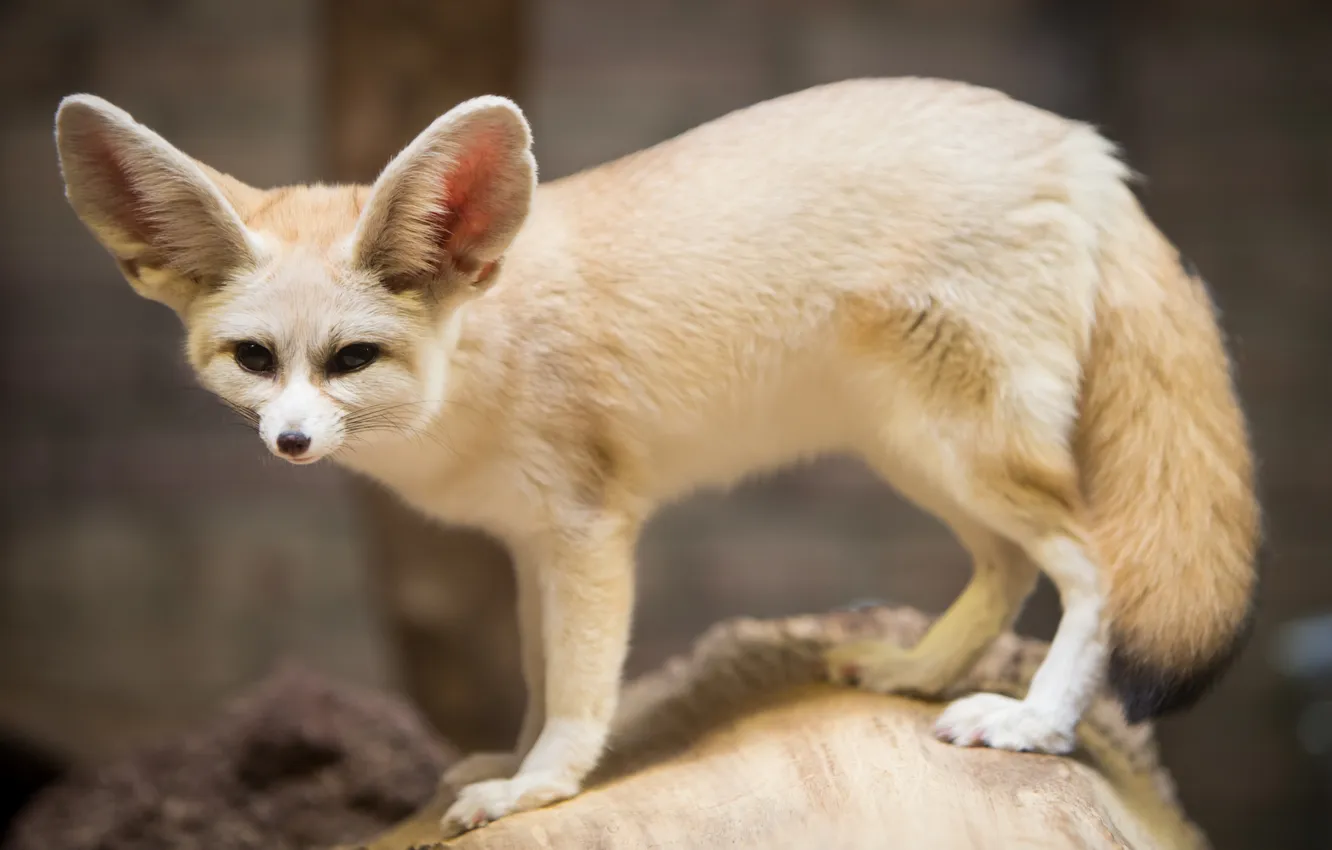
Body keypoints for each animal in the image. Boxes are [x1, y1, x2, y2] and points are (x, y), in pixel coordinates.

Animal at [54, 77, 1260, 837]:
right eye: (255, 360)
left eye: (353, 358)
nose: (294, 441)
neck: (480, 352)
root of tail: (1076, 143)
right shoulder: (531, 545)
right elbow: (541, 676)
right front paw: (513, 761)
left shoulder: (592, 532)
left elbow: (584, 689)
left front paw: (541, 787)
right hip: (920, 453)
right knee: (1007, 566)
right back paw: (919, 671)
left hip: (967, 451)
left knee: (1093, 565)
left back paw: (1031, 723)